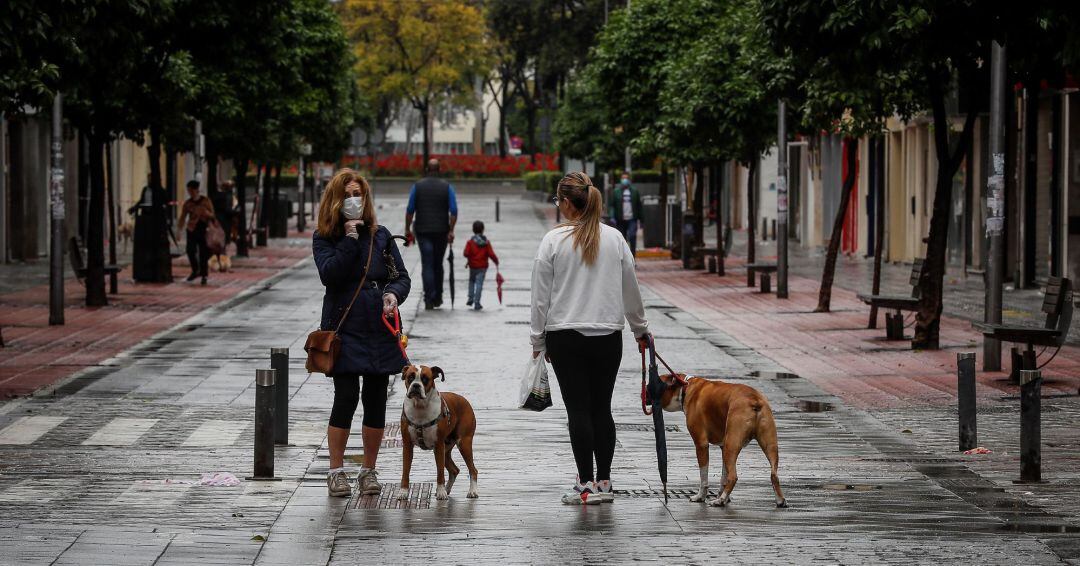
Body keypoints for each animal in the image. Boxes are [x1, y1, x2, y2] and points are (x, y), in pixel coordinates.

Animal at [399, 362, 479, 499]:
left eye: (425, 379)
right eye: (410, 377)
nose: (416, 385)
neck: (420, 407)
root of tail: (463, 399)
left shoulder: (438, 445)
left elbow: (440, 472)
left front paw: (441, 491)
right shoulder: (407, 446)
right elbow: (405, 470)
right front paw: (403, 492)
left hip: (463, 444)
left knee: (473, 469)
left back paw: (472, 491)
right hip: (446, 449)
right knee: (454, 470)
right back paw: (447, 489)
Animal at [656, 375, 786, 507]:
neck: (685, 387)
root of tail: (754, 399)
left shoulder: (701, 444)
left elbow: (704, 476)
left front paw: (701, 497)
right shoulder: (723, 447)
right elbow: (724, 476)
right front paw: (722, 495)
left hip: (731, 445)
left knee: (733, 476)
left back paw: (720, 500)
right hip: (769, 445)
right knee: (774, 474)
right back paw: (780, 501)